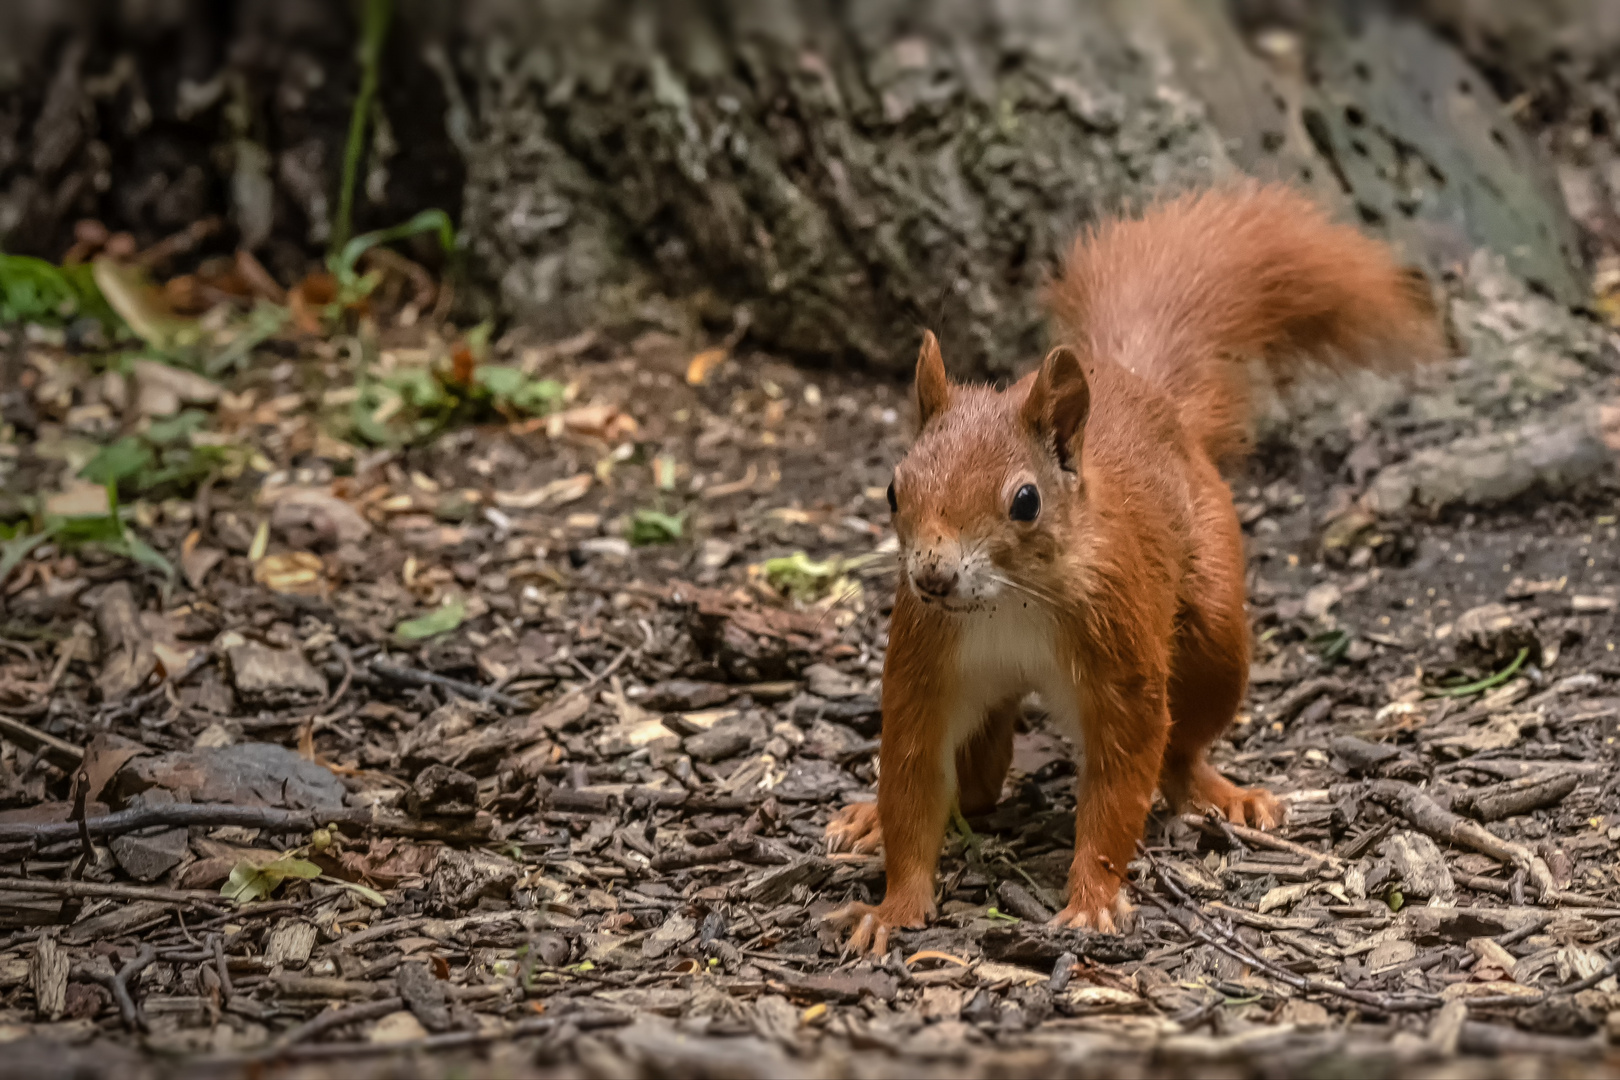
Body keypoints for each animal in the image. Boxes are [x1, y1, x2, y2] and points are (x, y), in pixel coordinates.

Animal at [829, 183, 1438, 952]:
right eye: (893, 489)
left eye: (1025, 500)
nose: (932, 577)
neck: (1008, 600)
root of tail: (1144, 390)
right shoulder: (927, 662)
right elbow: (911, 783)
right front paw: (894, 906)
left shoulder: (1119, 646)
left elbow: (1124, 775)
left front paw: (1092, 898)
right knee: (976, 782)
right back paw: (867, 817)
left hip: (1211, 630)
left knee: (1180, 745)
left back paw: (1222, 793)